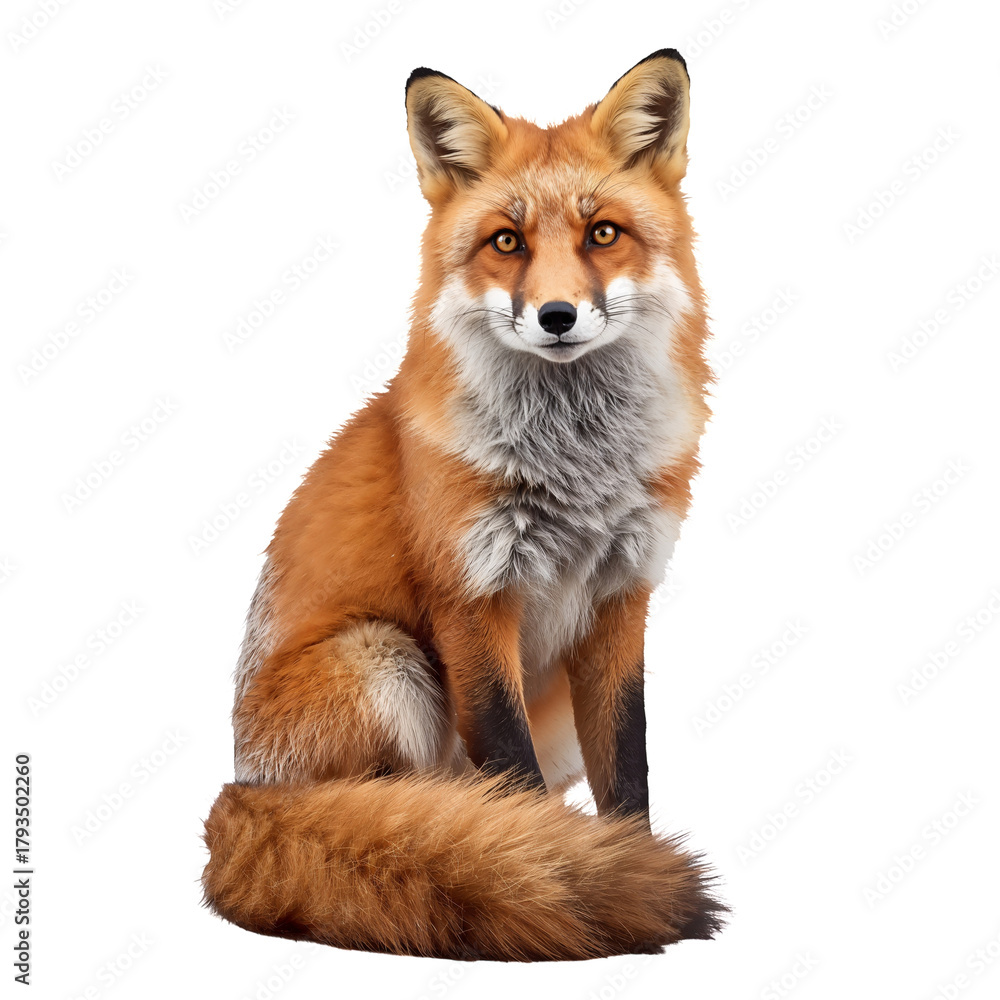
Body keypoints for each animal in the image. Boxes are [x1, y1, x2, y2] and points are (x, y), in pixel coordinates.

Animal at [202, 48, 725, 962]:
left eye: (603, 233)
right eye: (505, 242)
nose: (558, 315)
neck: (574, 464)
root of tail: (241, 786)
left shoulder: (622, 597)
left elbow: (629, 769)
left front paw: (624, 864)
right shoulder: (472, 596)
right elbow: (511, 772)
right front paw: (556, 865)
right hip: (383, 659)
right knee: (394, 811)